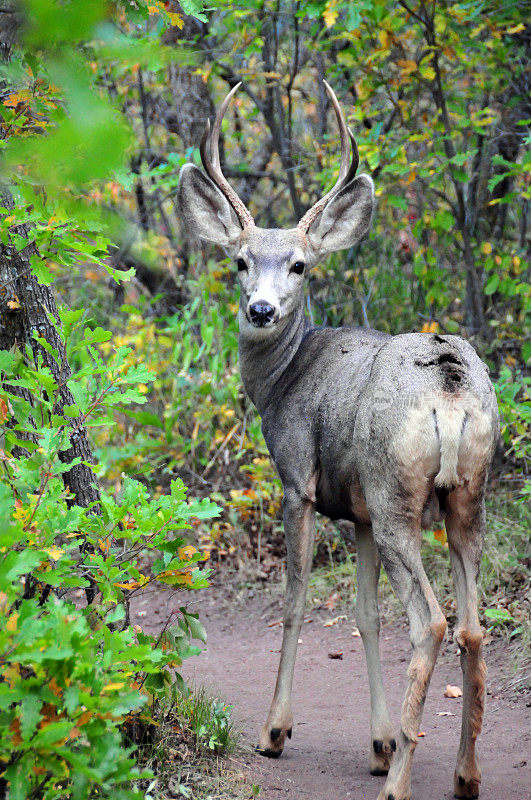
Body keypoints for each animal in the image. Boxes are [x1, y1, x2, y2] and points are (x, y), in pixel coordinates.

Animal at [179, 83, 498, 800]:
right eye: (240, 261)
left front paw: (275, 731)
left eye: (298, 264)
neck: (284, 380)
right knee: (470, 626)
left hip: (396, 494)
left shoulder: (298, 479)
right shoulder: (356, 513)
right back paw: (463, 775)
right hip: (465, 496)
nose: (261, 309)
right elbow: (363, 612)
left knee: (432, 621)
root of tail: (449, 390)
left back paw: (399, 784)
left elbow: (296, 601)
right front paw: (378, 742)